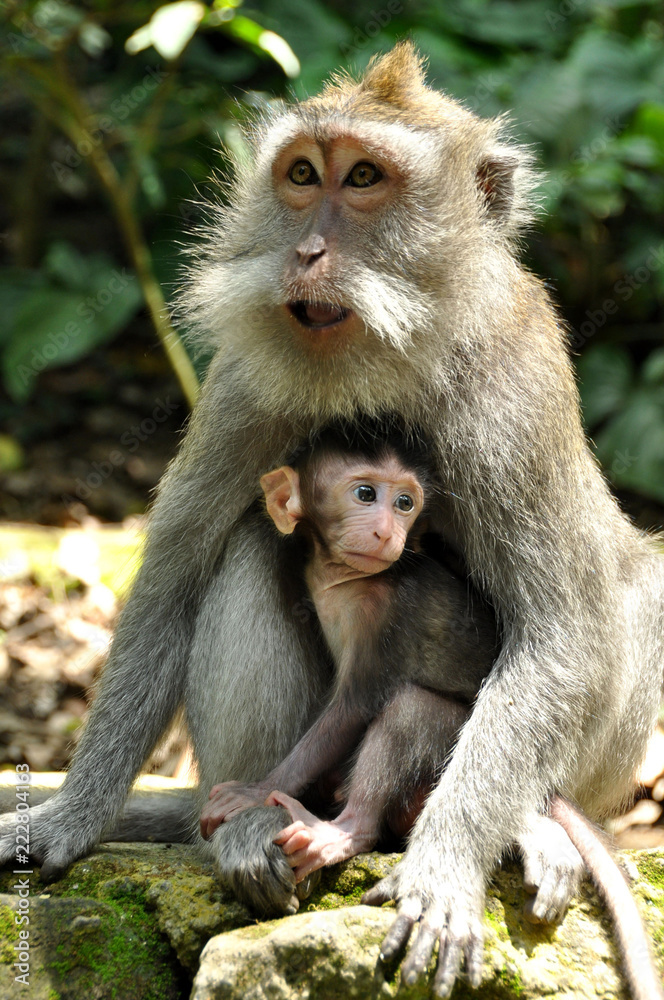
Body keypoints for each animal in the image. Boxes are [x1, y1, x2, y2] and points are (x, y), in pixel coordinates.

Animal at [0, 43, 662, 998]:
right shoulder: (246, 378)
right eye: (303, 175)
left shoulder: (512, 389)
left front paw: (445, 868)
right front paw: (70, 812)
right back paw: (245, 825)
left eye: (365, 178)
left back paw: (525, 822)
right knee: (245, 547)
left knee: (634, 590)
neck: (382, 359)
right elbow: (173, 579)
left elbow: (565, 632)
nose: (307, 250)